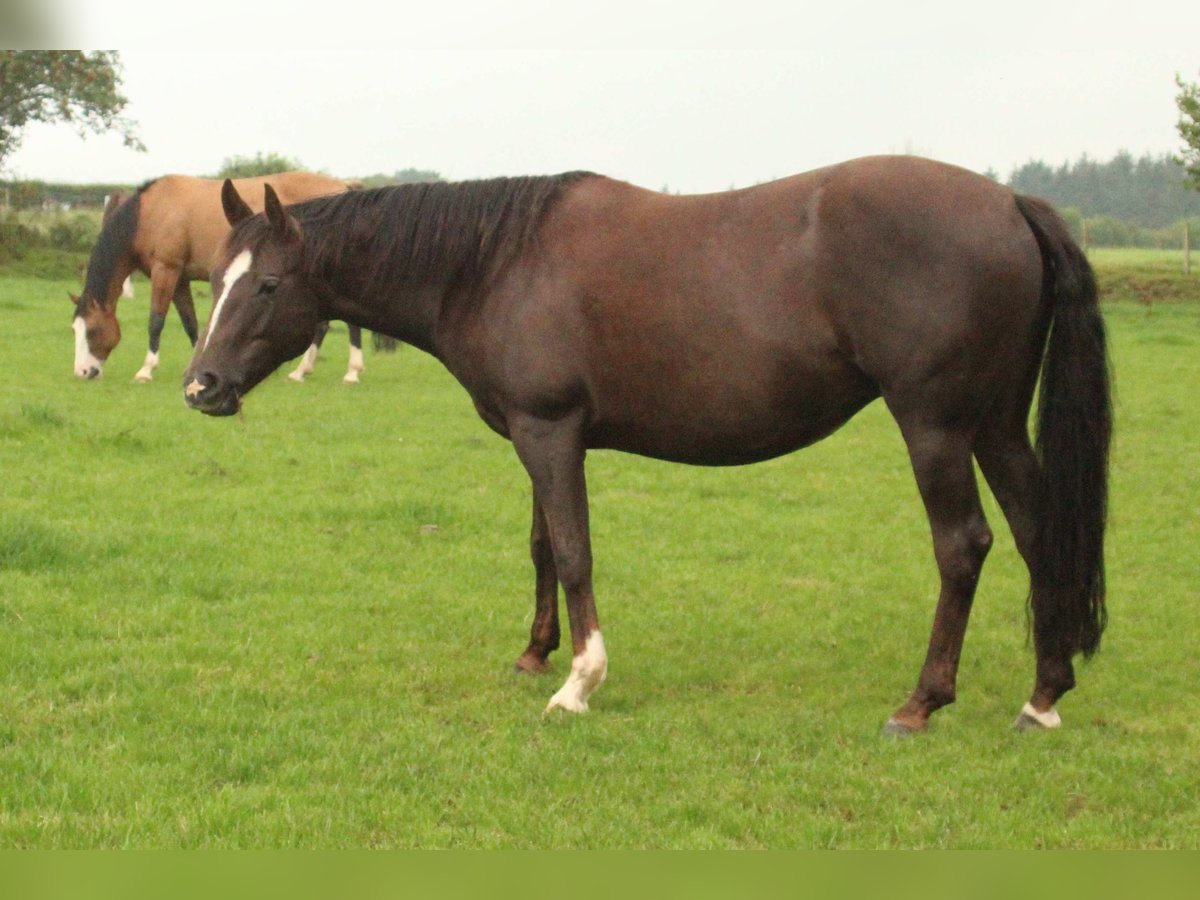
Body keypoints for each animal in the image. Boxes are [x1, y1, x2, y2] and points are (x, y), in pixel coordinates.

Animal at [70, 171, 355, 381]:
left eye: (92, 330)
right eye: (75, 329)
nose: (82, 372)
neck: (148, 213)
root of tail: (343, 186)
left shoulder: (166, 270)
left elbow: (156, 321)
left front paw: (146, 370)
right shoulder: (180, 280)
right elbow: (190, 323)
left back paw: (335, 372)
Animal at [182, 160, 1108, 739]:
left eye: (267, 286)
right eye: (215, 280)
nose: (200, 388)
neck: (495, 262)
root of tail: (1010, 204)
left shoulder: (551, 432)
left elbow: (575, 551)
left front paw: (577, 683)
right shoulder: (537, 433)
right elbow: (542, 546)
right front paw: (534, 654)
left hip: (937, 427)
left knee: (964, 546)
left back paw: (921, 703)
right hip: (994, 425)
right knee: (1038, 532)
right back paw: (1043, 697)